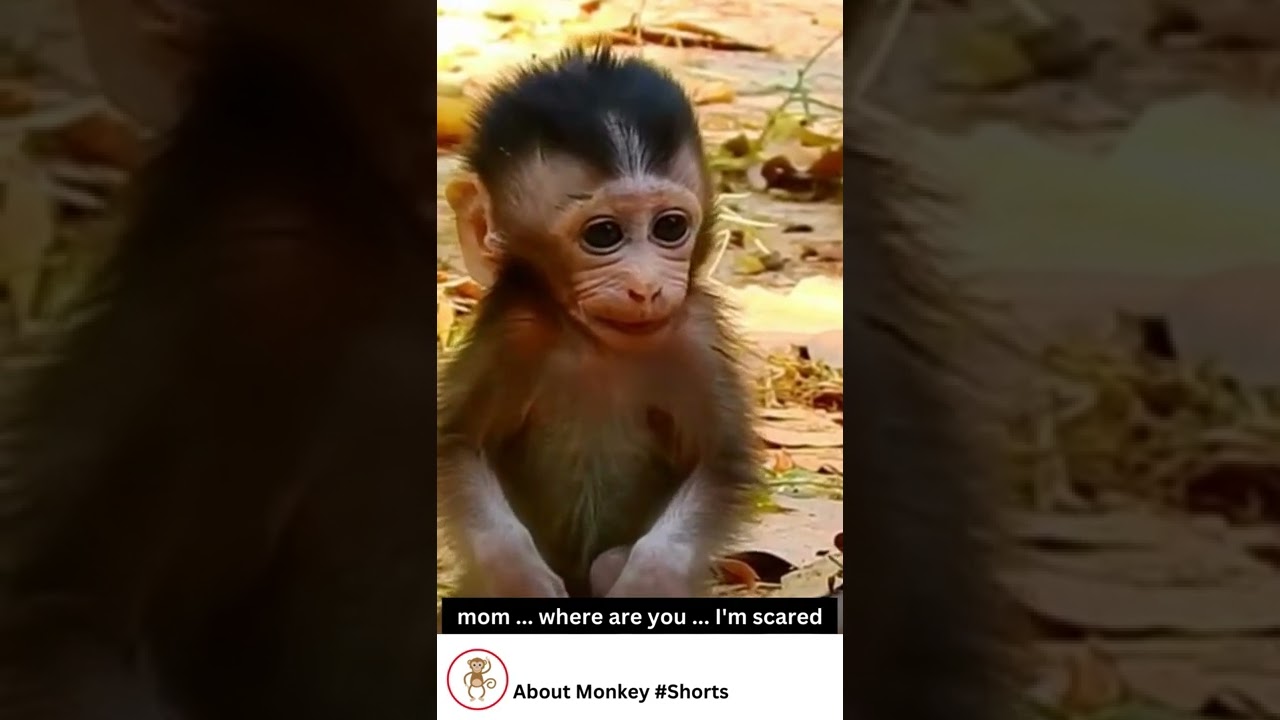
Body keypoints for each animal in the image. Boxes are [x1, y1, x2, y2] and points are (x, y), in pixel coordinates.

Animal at [437, 45, 763, 599]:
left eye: (669, 227)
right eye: (604, 235)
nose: (645, 287)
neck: (597, 347)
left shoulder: (693, 336)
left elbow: (719, 464)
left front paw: (651, 578)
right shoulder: (515, 330)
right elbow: (459, 448)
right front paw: (518, 575)